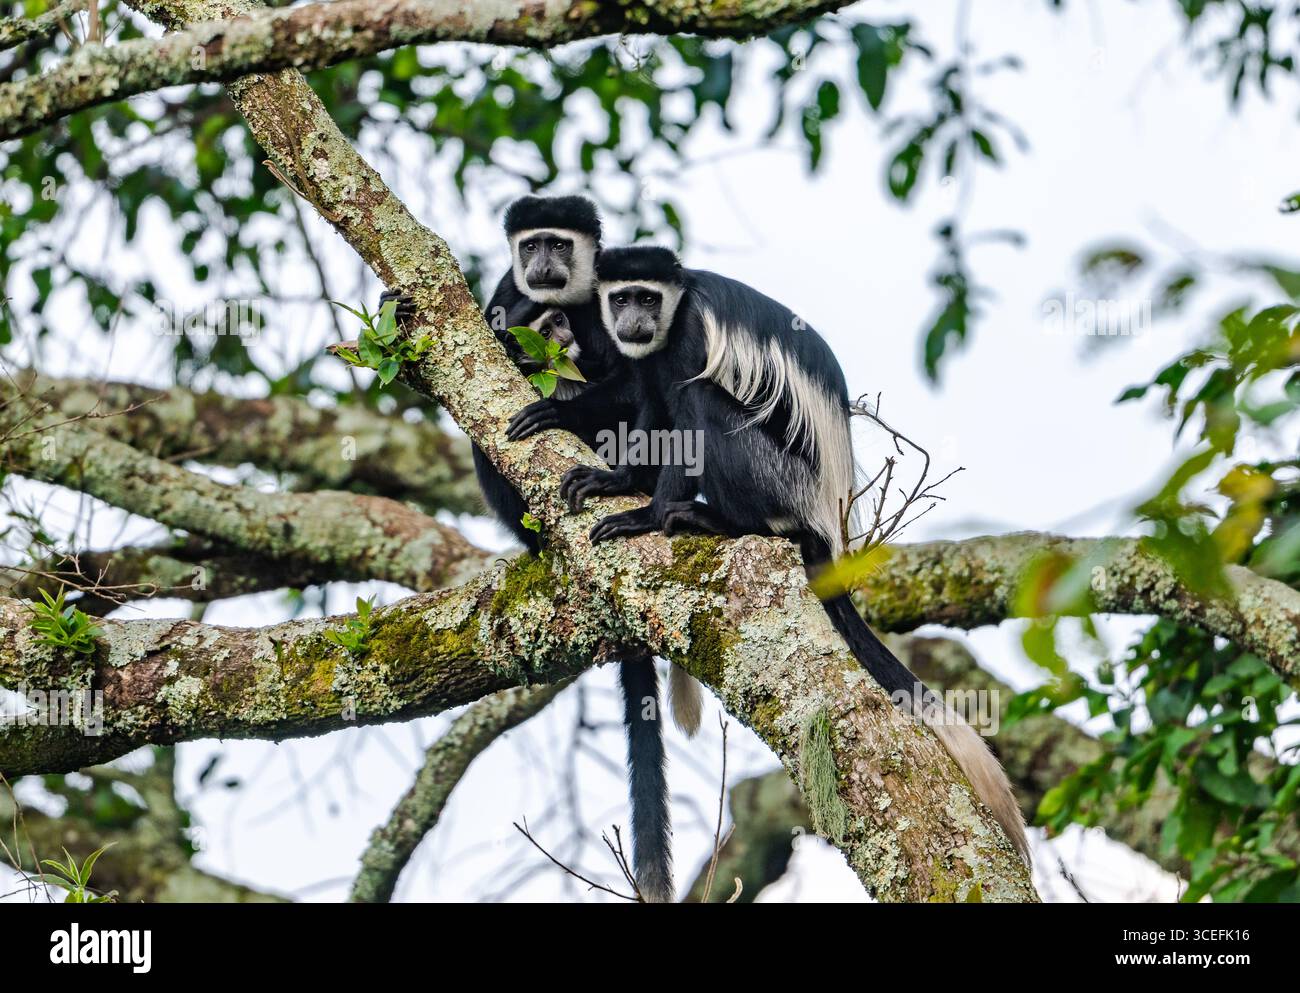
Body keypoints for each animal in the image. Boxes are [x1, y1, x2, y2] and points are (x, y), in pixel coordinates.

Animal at [561, 246, 1031, 865]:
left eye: (647, 298)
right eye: (620, 298)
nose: (632, 321)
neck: (670, 317)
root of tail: (826, 521)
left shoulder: (690, 335)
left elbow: (681, 414)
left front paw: (646, 514)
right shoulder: (644, 359)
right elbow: (651, 409)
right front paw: (615, 481)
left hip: (780, 479)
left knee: (703, 403)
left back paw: (717, 519)